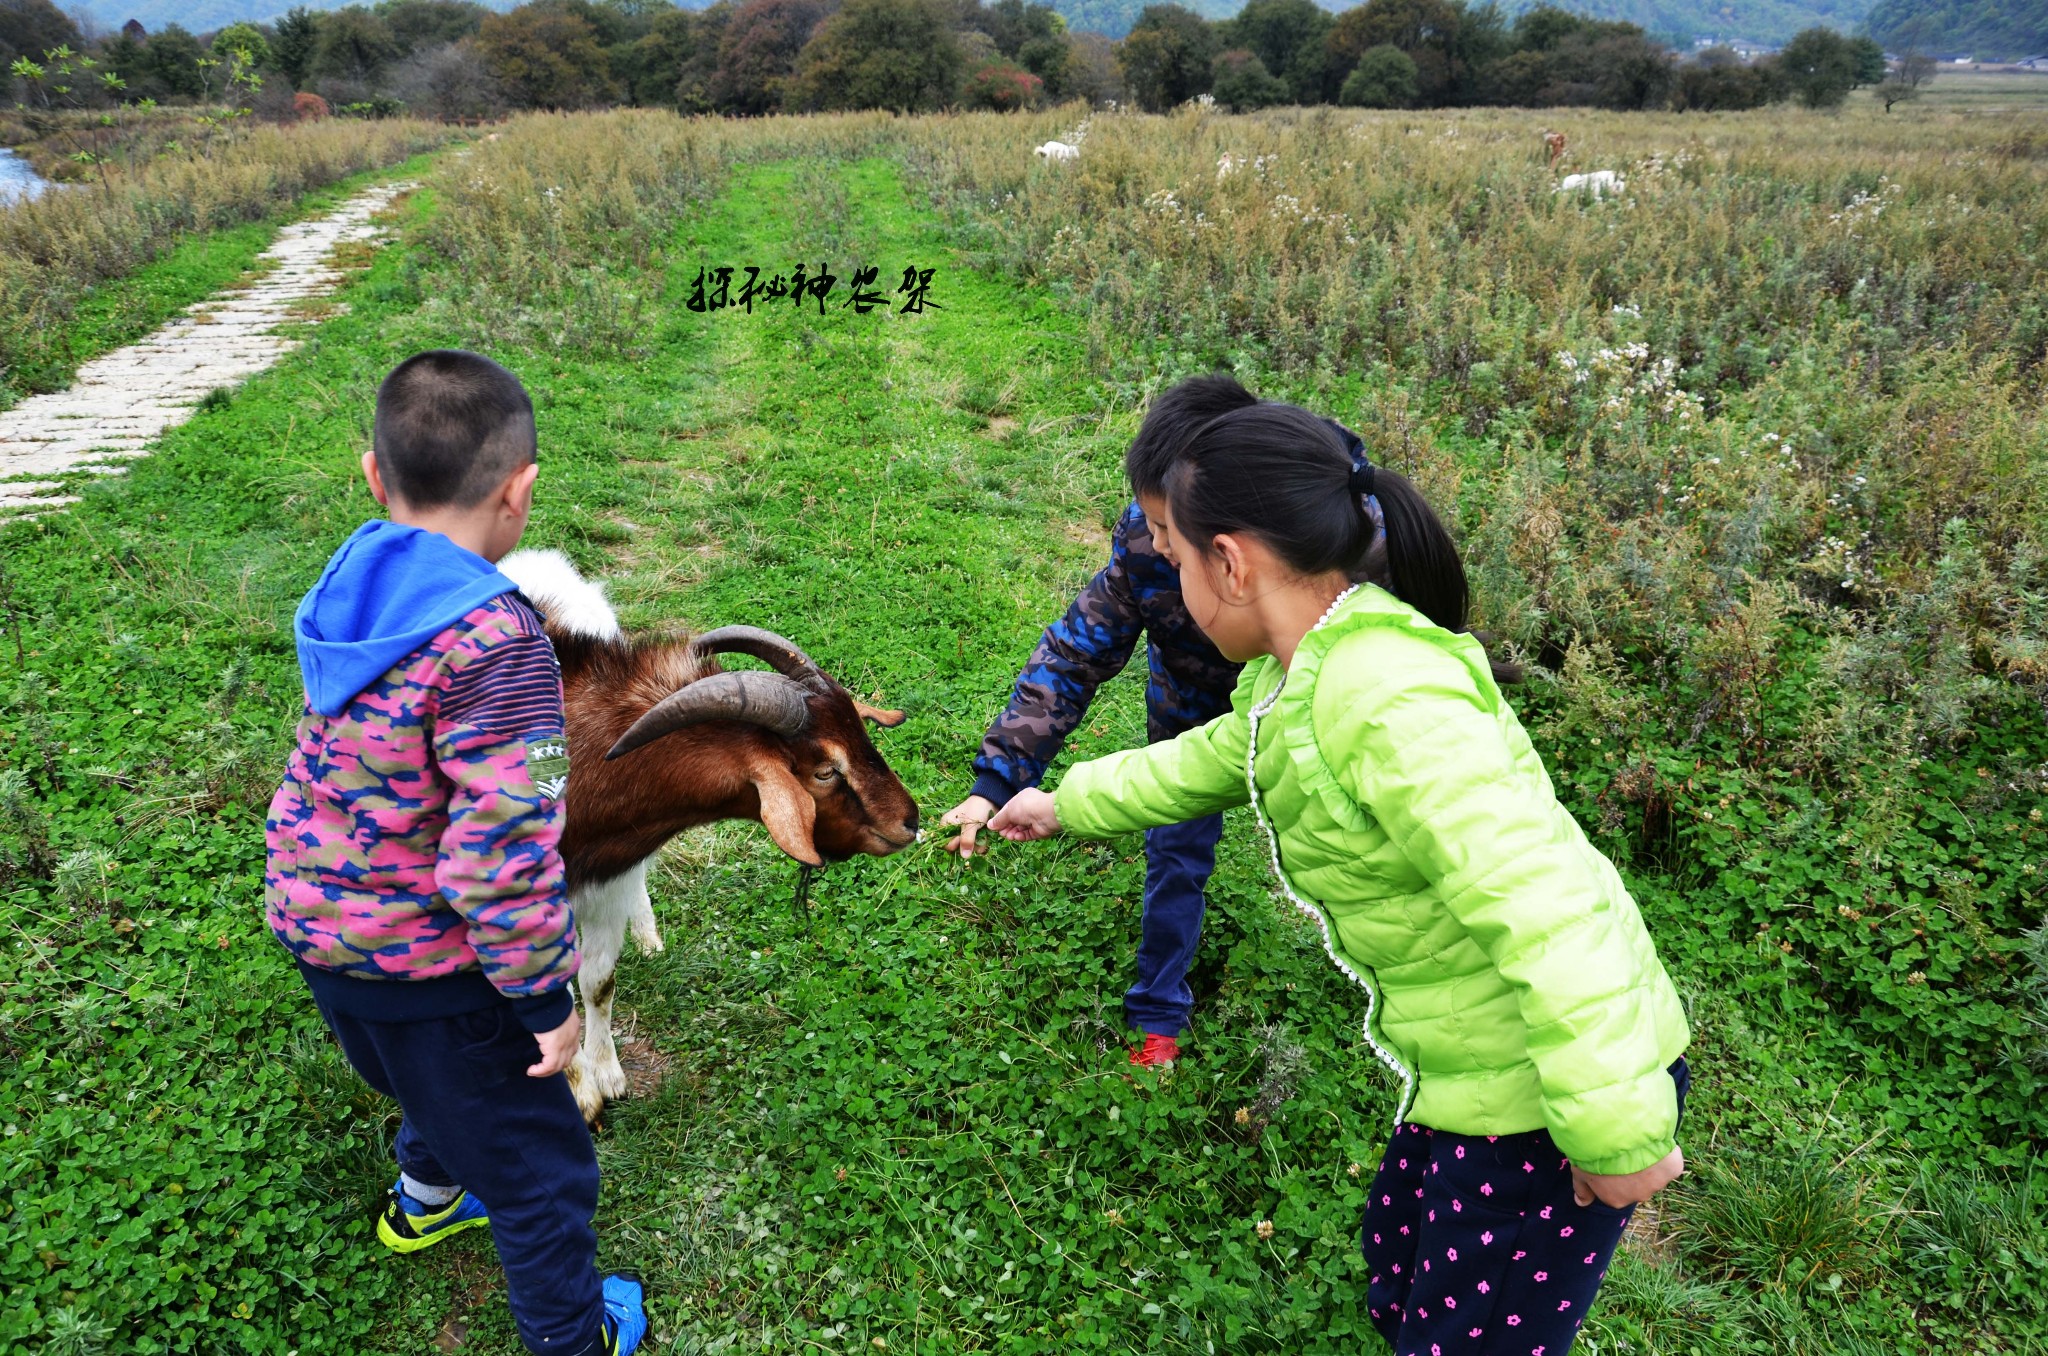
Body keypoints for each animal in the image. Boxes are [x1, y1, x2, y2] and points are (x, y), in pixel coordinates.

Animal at [499, 553, 917, 1122]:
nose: (910, 820)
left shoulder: (610, 877)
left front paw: (608, 1075)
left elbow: (599, 982)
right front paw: (582, 1092)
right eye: (826, 770)